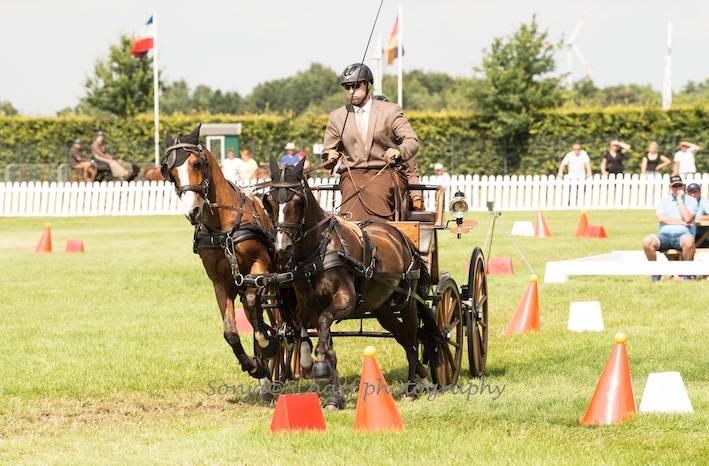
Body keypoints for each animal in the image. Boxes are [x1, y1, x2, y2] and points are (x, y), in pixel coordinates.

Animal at [160, 125, 294, 402]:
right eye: (170, 171)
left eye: (196, 163)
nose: (193, 212)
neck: (224, 226)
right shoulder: (221, 283)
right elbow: (231, 332)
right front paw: (253, 365)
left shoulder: (259, 269)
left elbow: (254, 306)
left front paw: (267, 344)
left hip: (276, 280)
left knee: (275, 317)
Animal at [262, 157, 436, 408]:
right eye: (269, 202)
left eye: (297, 200)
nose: (282, 246)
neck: (319, 250)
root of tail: (401, 236)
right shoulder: (308, 306)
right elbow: (317, 339)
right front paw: (333, 394)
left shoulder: (345, 302)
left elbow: (324, 328)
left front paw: (320, 368)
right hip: (383, 309)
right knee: (402, 337)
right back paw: (421, 377)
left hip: (407, 303)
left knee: (412, 338)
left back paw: (412, 387)